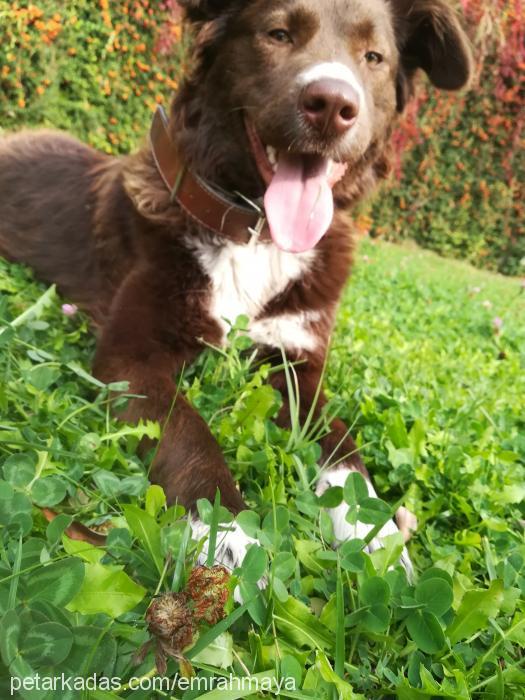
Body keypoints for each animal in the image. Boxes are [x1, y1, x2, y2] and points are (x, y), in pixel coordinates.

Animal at [0, 0, 468, 568]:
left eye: (373, 57)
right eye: (278, 33)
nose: (333, 105)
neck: (255, 234)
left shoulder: (296, 366)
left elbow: (341, 443)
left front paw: (369, 530)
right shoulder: (130, 357)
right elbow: (187, 430)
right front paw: (230, 533)